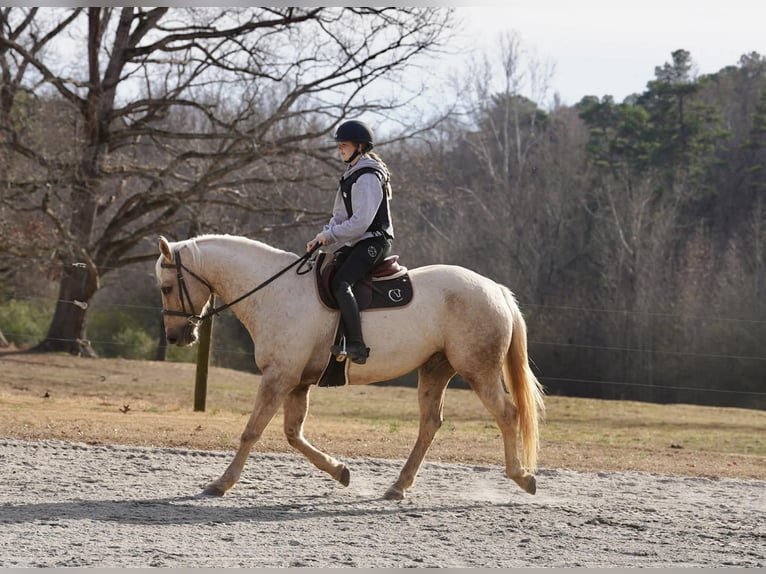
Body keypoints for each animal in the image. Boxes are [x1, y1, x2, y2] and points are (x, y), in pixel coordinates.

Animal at [155, 234, 545, 499]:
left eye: (167, 286)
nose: (176, 336)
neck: (274, 292)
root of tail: (494, 289)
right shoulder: (297, 383)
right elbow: (293, 434)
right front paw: (340, 471)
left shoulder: (278, 377)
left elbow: (252, 431)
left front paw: (220, 484)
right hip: (436, 370)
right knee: (430, 425)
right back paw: (397, 487)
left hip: (479, 371)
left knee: (508, 414)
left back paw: (523, 478)